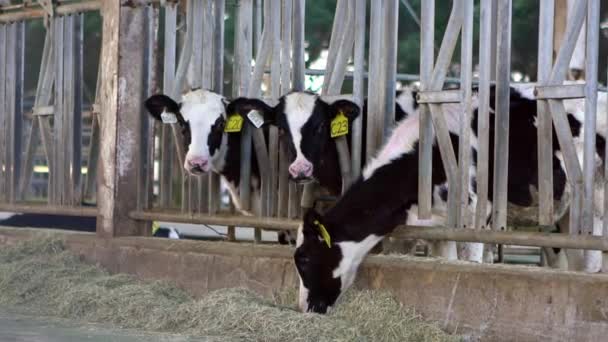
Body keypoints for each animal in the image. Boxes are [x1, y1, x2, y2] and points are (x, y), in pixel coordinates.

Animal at [292, 85, 604, 312]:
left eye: (303, 258)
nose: (305, 307)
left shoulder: (475, 213)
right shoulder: (439, 228)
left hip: (597, 201)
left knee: (591, 261)